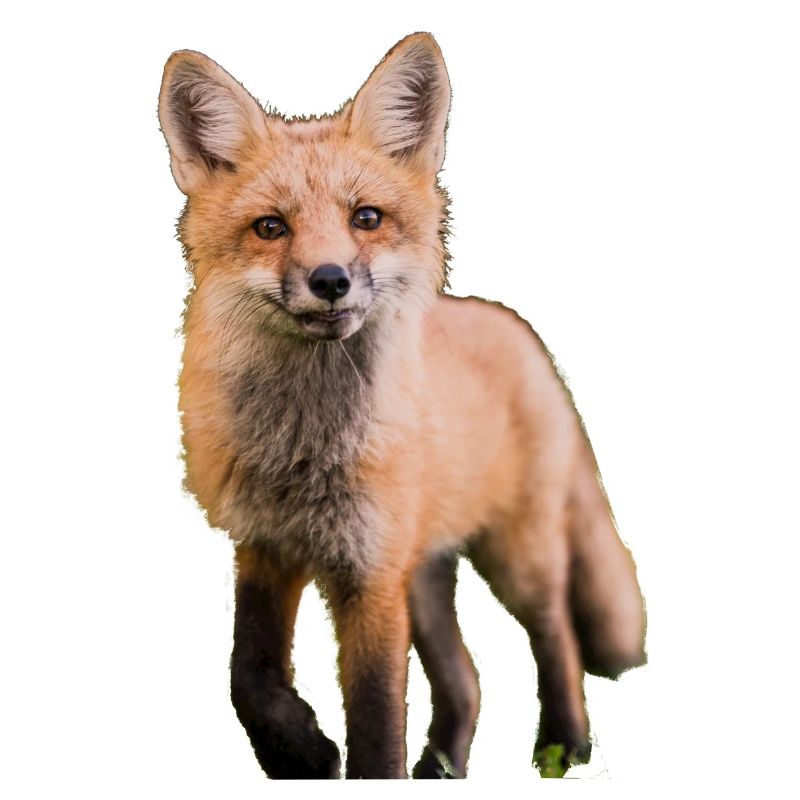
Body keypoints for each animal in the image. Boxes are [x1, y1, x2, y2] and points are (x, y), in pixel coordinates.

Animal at [158, 32, 646, 780]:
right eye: (270, 227)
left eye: (366, 218)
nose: (330, 279)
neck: (305, 449)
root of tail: (516, 326)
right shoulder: (266, 546)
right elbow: (249, 675)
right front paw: (298, 750)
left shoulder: (371, 573)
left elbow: (377, 716)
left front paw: (340, 757)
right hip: (425, 574)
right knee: (468, 676)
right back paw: (445, 761)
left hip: (516, 555)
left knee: (556, 633)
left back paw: (564, 742)